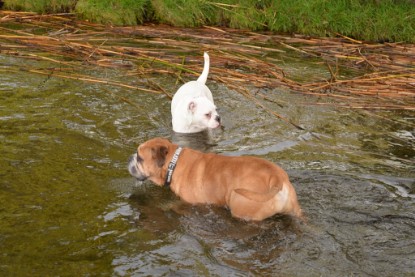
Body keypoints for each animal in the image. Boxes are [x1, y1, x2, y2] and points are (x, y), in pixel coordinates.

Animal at [128, 137, 304, 220]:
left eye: (139, 158)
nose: (129, 158)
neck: (174, 163)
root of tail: (276, 178)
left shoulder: (189, 203)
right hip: (295, 210)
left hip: (243, 206)